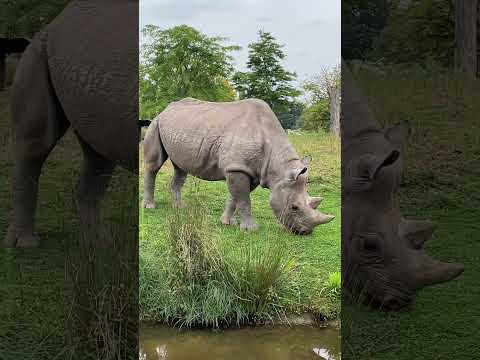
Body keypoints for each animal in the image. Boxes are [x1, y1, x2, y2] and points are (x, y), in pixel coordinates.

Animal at [142, 97, 334, 235]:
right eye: (294, 207)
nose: (305, 232)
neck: (278, 168)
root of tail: (165, 110)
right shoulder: (237, 168)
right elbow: (244, 200)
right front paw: (251, 230)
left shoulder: (249, 170)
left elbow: (235, 198)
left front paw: (227, 223)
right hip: (156, 123)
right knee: (154, 165)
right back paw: (150, 207)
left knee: (181, 168)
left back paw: (179, 208)